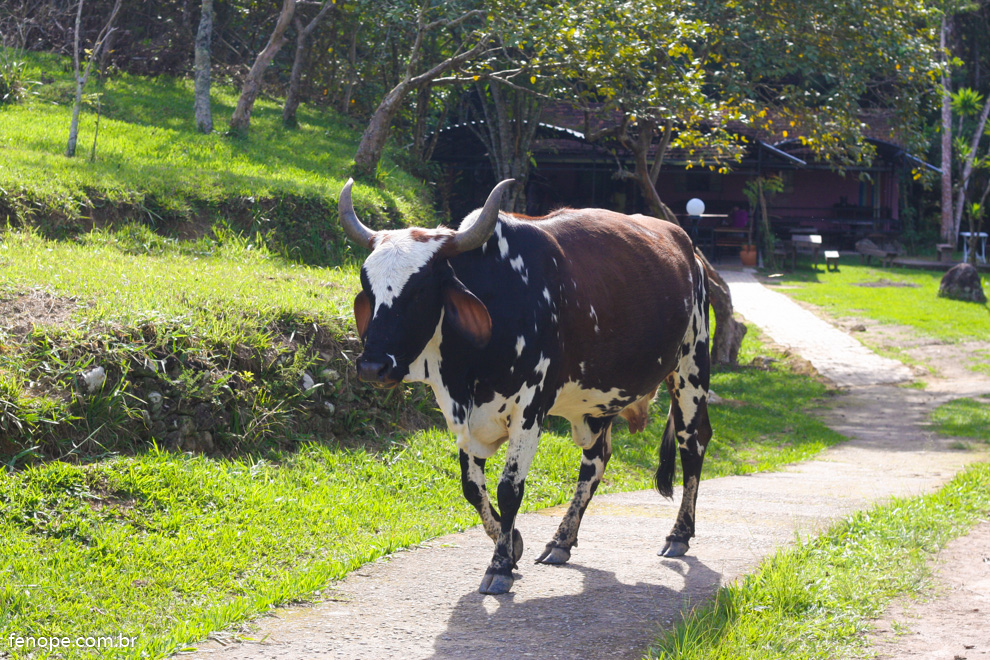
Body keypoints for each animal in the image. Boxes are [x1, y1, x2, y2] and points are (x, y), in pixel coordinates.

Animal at [338, 178, 708, 596]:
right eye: (367, 287)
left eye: (418, 290)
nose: (372, 365)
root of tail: (687, 246)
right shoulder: (464, 416)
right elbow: (472, 487)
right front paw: (511, 543)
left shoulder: (530, 409)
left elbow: (509, 488)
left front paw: (499, 565)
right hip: (599, 402)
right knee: (595, 461)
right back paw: (561, 540)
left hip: (691, 369)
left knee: (692, 446)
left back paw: (678, 535)